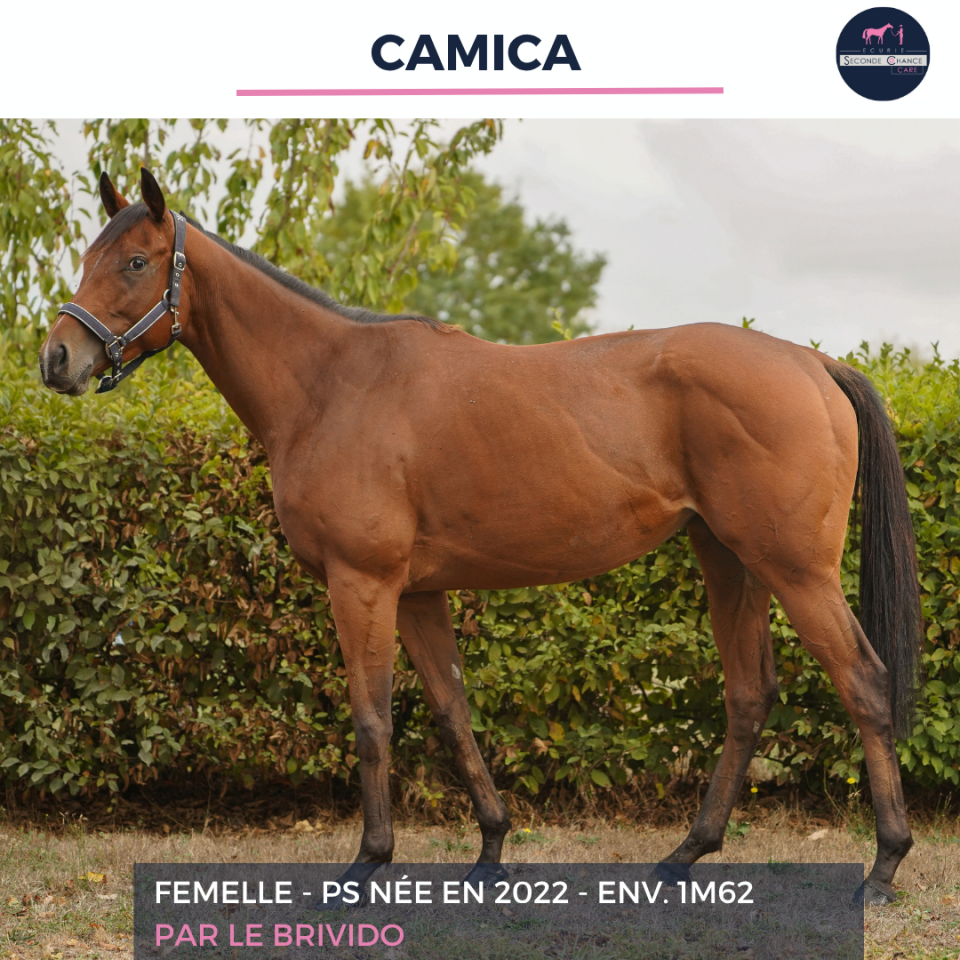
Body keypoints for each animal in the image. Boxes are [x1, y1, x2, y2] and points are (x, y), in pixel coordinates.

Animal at [39, 169, 922, 906]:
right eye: (90, 256)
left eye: (137, 262)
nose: (57, 358)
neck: (331, 384)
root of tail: (810, 363)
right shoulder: (418, 593)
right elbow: (450, 710)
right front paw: (491, 850)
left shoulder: (363, 584)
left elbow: (372, 720)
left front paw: (369, 863)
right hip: (729, 560)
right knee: (748, 695)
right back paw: (684, 856)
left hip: (795, 569)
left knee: (864, 684)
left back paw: (882, 867)